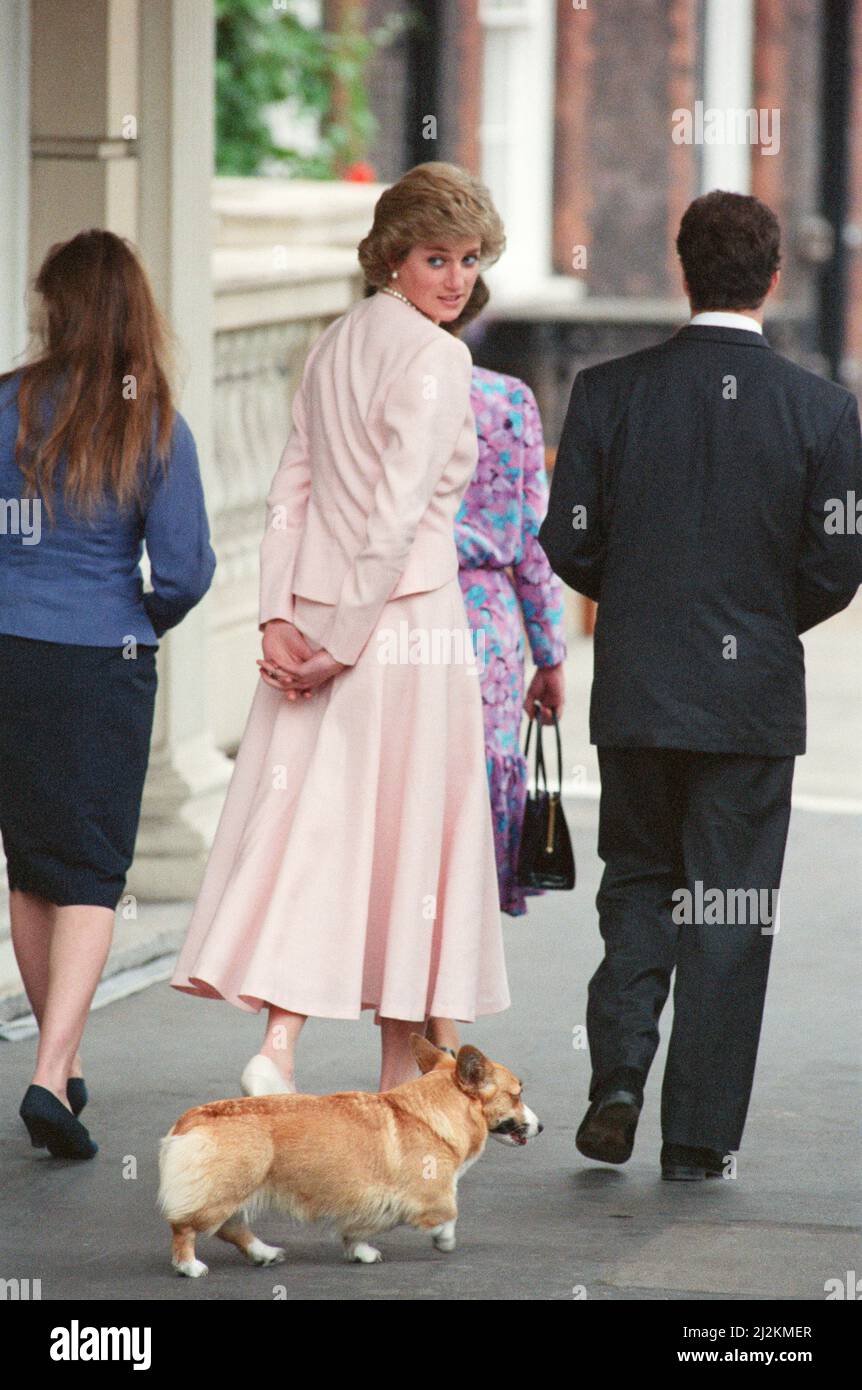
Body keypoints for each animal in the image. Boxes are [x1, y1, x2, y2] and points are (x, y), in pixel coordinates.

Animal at [158, 1034, 542, 1273]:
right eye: (516, 1094)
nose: (540, 1127)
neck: (437, 1110)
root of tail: (187, 1122)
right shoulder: (432, 1192)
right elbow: (449, 1214)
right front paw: (444, 1241)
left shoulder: (364, 1202)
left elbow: (355, 1232)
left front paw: (362, 1253)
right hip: (226, 1189)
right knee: (185, 1227)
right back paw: (189, 1266)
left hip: (235, 1191)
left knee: (231, 1228)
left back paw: (264, 1253)